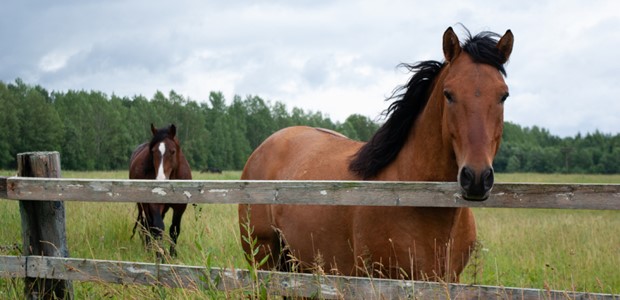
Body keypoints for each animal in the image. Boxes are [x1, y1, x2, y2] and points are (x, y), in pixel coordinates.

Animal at [133, 123, 194, 256]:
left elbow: (174, 229)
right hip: (143, 204)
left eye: (173, 151)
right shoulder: (154, 203)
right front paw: (159, 254)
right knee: (148, 225)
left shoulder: (180, 207)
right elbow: (158, 227)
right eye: (153, 151)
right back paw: (149, 248)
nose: (161, 179)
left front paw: (172, 254)